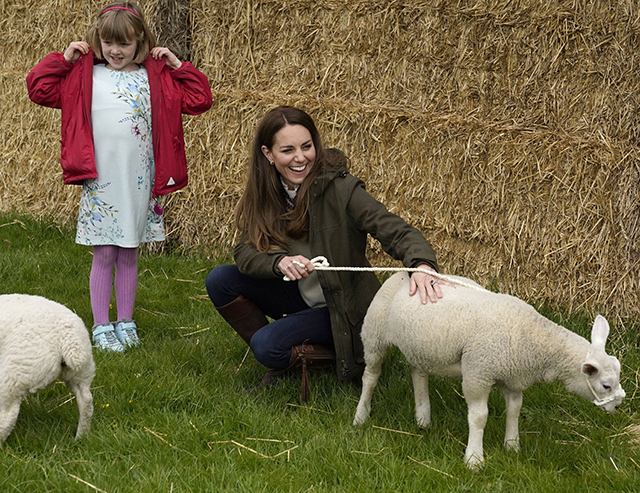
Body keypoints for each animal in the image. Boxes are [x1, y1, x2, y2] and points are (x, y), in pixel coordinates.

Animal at [0, 292, 95, 442]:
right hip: (82, 372)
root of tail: (68, 339)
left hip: (15, 374)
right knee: (86, 401)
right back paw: (81, 436)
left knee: (7, 416)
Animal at [350, 272, 624, 468]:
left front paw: (512, 446)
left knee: (419, 373)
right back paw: (361, 415)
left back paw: (423, 418)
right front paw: (474, 459)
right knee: (370, 377)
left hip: (421, 346)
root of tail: (402, 274)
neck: (532, 338)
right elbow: (479, 416)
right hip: (374, 336)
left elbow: (514, 410)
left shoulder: (513, 376)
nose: (618, 407)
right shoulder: (477, 373)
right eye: (605, 385)